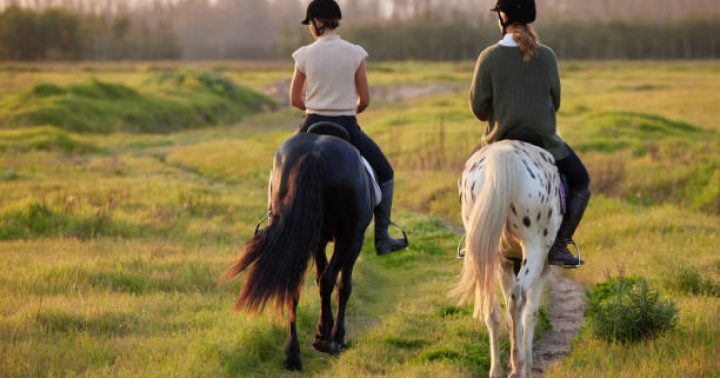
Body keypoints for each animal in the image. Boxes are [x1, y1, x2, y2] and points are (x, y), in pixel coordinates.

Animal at [221, 123, 380, 370]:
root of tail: (314, 154)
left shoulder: (318, 240)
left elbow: (321, 278)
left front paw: (325, 329)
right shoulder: (355, 239)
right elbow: (342, 285)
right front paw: (336, 336)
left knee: (293, 284)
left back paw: (293, 354)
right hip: (348, 237)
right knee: (329, 280)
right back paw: (326, 341)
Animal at [456, 141, 568, 378]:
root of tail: (503, 156)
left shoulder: (506, 261)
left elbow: (509, 314)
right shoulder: (544, 265)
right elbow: (530, 313)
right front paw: (528, 364)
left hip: (493, 254)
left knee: (492, 307)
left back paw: (497, 370)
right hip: (535, 248)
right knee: (518, 298)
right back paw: (518, 366)